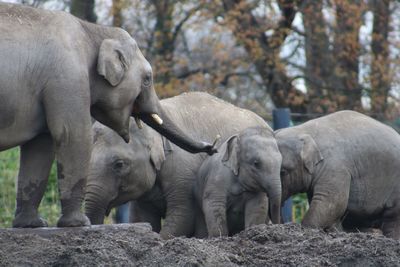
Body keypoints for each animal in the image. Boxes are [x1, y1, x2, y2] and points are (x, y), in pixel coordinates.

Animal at [0, 3, 216, 229]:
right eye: (148, 79)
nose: (212, 147)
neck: (93, 29)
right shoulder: (68, 79)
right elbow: (73, 135)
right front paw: (79, 224)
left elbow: (41, 144)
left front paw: (32, 224)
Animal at [276, 110, 400, 240]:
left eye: (283, 172)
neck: (303, 130)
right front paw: (333, 231)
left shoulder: (335, 167)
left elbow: (331, 202)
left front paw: (307, 229)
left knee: (392, 220)